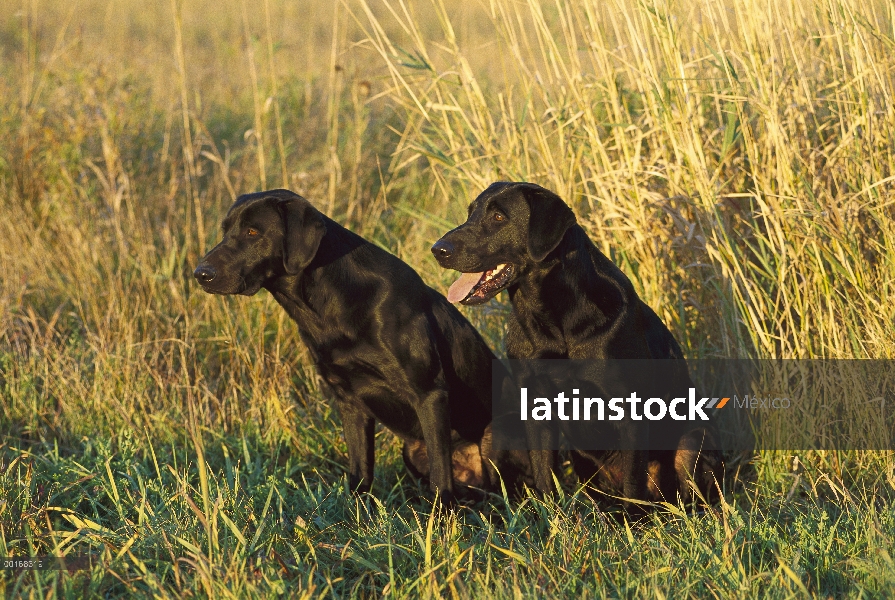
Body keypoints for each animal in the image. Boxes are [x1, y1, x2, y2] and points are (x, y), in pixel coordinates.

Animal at [194, 190, 512, 504]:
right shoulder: (349, 400)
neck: (330, 303)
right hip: (411, 451)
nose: (200, 274)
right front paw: (355, 512)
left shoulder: (429, 394)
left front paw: (441, 516)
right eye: (225, 231)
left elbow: (439, 474)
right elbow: (360, 470)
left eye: (252, 232)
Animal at [432, 182, 720, 506]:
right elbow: (543, 475)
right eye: (471, 213)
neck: (555, 324)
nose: (438, 249)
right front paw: (548, 516)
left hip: (693, 440)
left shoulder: (631, 414)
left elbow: (633, 486)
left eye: (498, 217)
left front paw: (633, 519)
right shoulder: (536, 408)